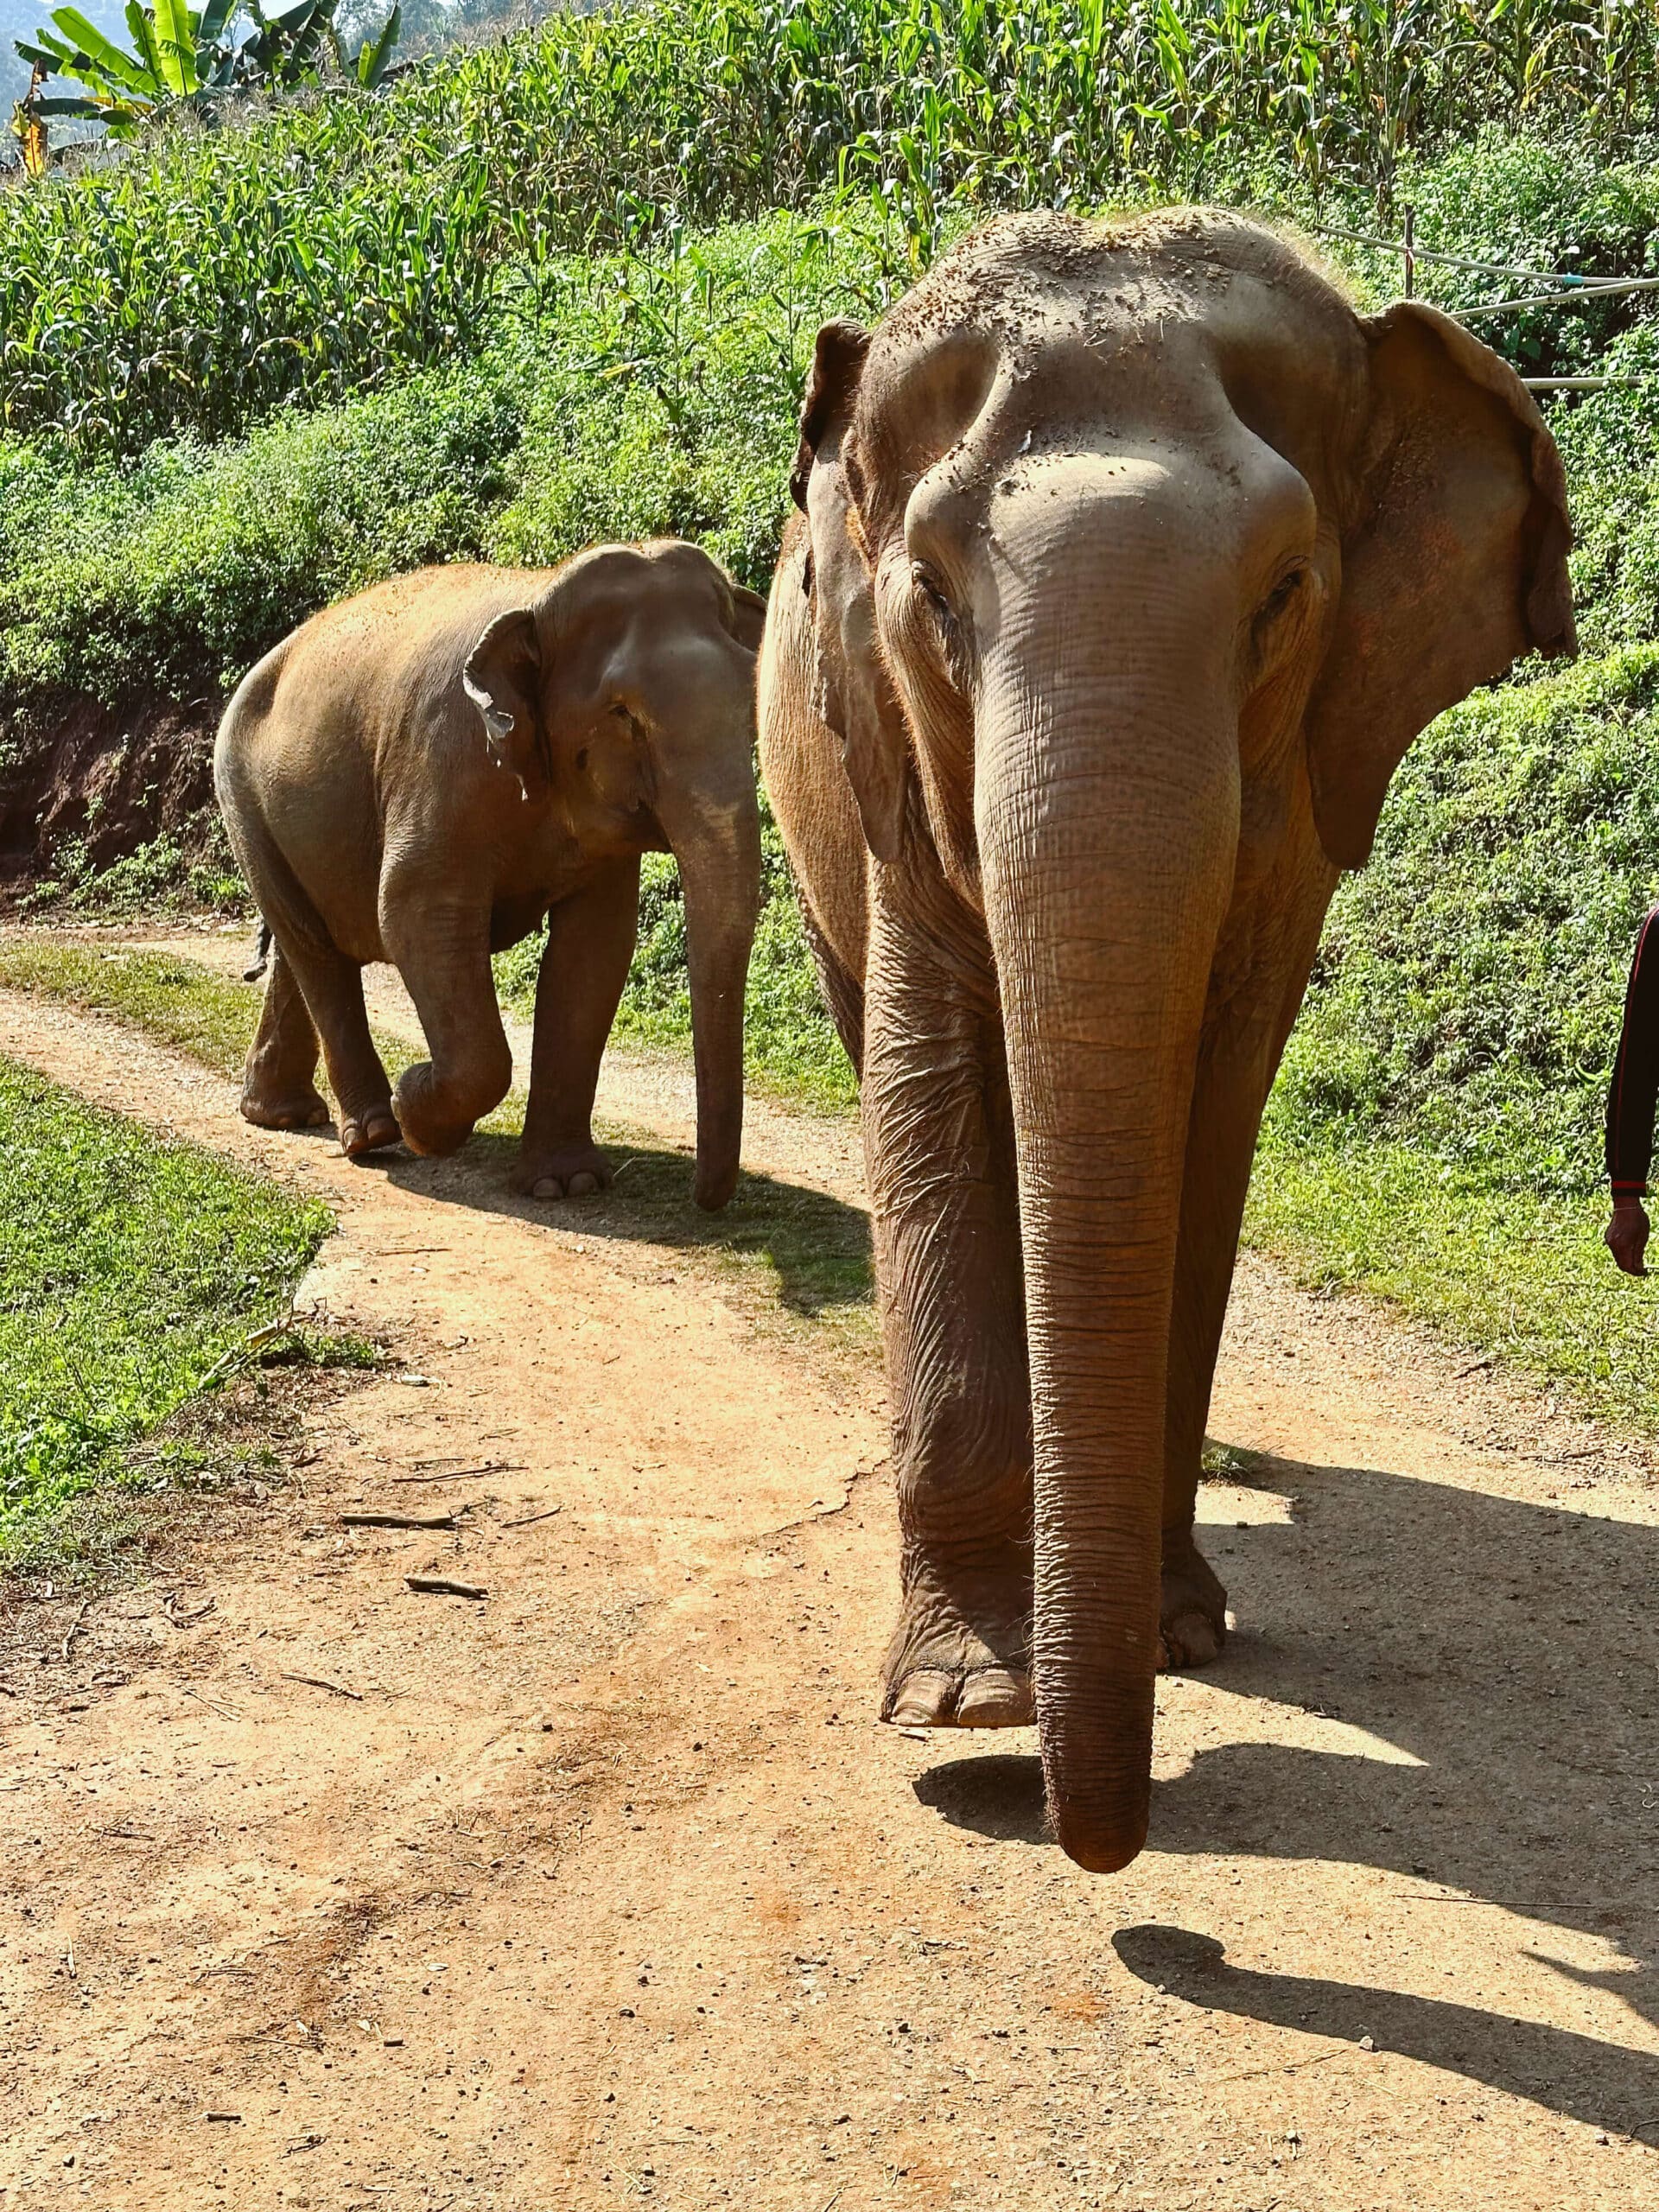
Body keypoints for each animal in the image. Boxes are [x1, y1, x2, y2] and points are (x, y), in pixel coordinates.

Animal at [215, 539, 765, 1210]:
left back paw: (283, 1115)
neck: (540, 592)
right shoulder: (443, 762)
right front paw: (418, 1106)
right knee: (315, 950)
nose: (704, 1201)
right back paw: (374, 1134)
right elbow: (415, 914)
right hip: (243, 798)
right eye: (622, 713)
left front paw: (566, 1184)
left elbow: (596, 948)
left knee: (307, 948)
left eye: (751, 701)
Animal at [758, 208, 1574, 1871]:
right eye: (931, 596)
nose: (1114, 1847)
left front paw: (1177, 1635)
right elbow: (927, 1097)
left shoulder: (1301, 811)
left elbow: (1212, 1114)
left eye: (1284, 593)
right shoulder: (889, 770)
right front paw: (965, 1703)